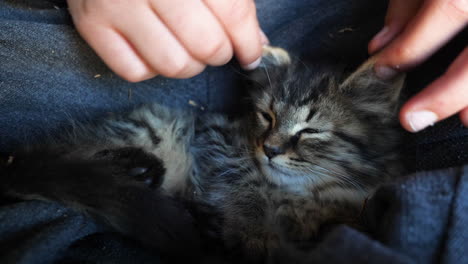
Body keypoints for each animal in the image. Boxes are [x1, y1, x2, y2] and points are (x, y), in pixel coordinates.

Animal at [0, 46, 404, 262]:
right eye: (267, 116)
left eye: (310, 131)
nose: (270, 149)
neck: (300, 190)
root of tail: (12, 161)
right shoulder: (218, 139)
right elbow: (245, 188)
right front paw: (258, 235)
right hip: (153, 126)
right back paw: (136, 170)